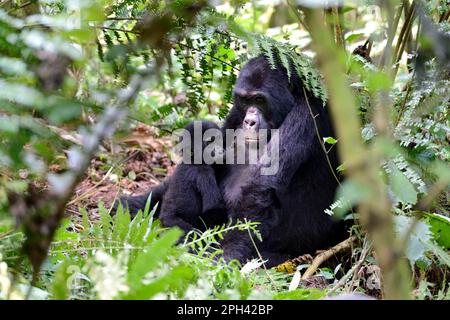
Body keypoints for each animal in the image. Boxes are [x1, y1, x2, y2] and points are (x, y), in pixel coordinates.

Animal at [116, 55, 348, 268]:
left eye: (259, 100)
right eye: (246, 100)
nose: (250, 121)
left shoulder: (307, 113)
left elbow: (260, 189)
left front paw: (226, 255)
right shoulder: (236, 112)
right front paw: (134, 204)